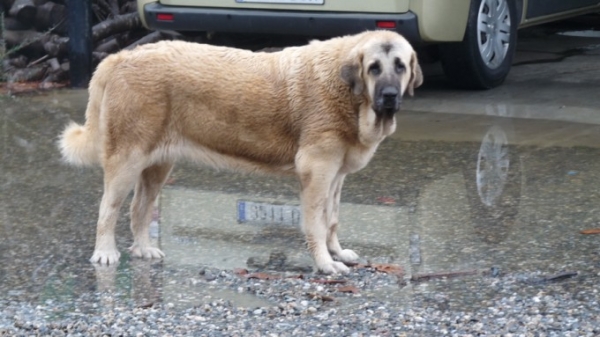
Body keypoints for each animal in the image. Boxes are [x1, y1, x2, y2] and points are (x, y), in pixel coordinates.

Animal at [57, 30, 422, 272]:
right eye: (374, 67)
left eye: (400, 66)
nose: (390, 95)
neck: (350, 94)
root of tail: (121, 56)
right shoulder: (317, 170)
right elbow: (316, 223)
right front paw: (324, 263)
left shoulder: (336, 175)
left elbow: (331, 219)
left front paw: (337, 252)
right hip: (127, 160)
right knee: (108, 208)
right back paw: (105, 252)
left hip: (157, 165)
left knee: (140, 209)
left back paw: (144, 248)